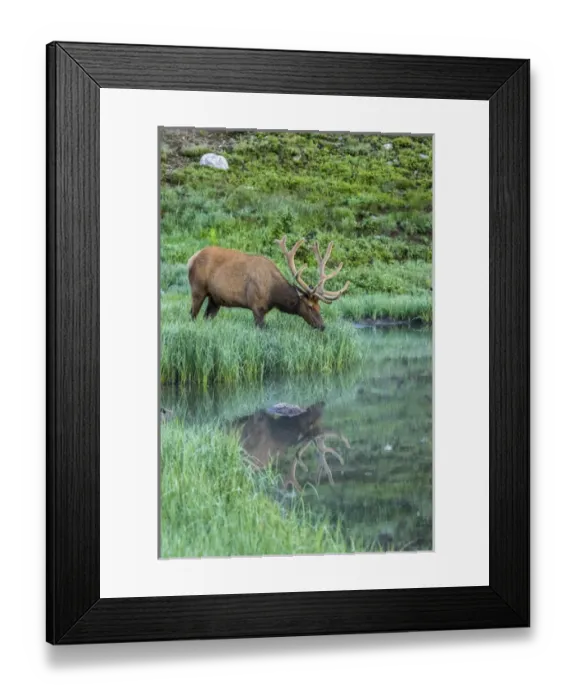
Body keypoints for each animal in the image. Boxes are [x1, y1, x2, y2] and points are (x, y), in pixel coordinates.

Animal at [186, 236, 350, 330]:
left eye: (319, 307)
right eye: (310, 306)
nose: (322, 326)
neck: (273, 295)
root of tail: (191, 259)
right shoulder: (256, 306)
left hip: (215, 299)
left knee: (206, 317)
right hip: (197, 289)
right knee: (192, 314)